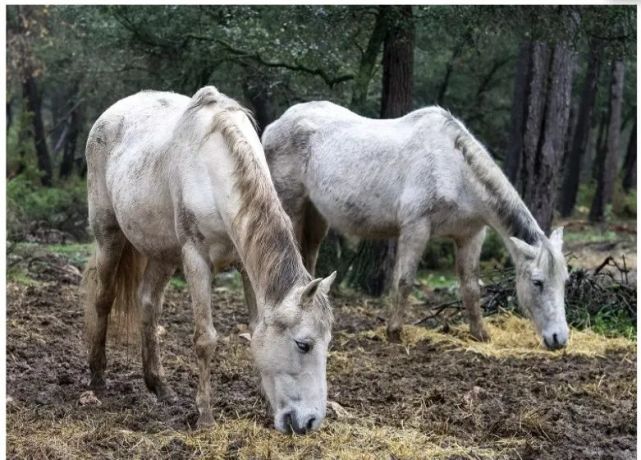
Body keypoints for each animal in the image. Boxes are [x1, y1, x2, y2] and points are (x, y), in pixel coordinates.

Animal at [81, 87, 336, 434]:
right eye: (303, 344)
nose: (309, 421)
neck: (216, 172)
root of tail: (110, 114)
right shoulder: (196, 261)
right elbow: (205, 338)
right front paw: (205, 416)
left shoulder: (244, 265)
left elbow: (254, 327)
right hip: (109, 235)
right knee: (103, 299)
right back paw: (97, 377)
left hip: (163, 255)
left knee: (148, 303)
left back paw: (159, 385)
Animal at [262, 102, 568, 350]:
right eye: (537, 282)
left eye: (564, 281)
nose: (559, 339)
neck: (455, 170)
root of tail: (275, 125)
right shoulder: (416, 228)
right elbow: (405, 279)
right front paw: (395, 332)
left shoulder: (471, 235)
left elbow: (471, 286)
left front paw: (480, 333)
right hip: (292, 205)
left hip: (316, 215)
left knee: (309, 255)